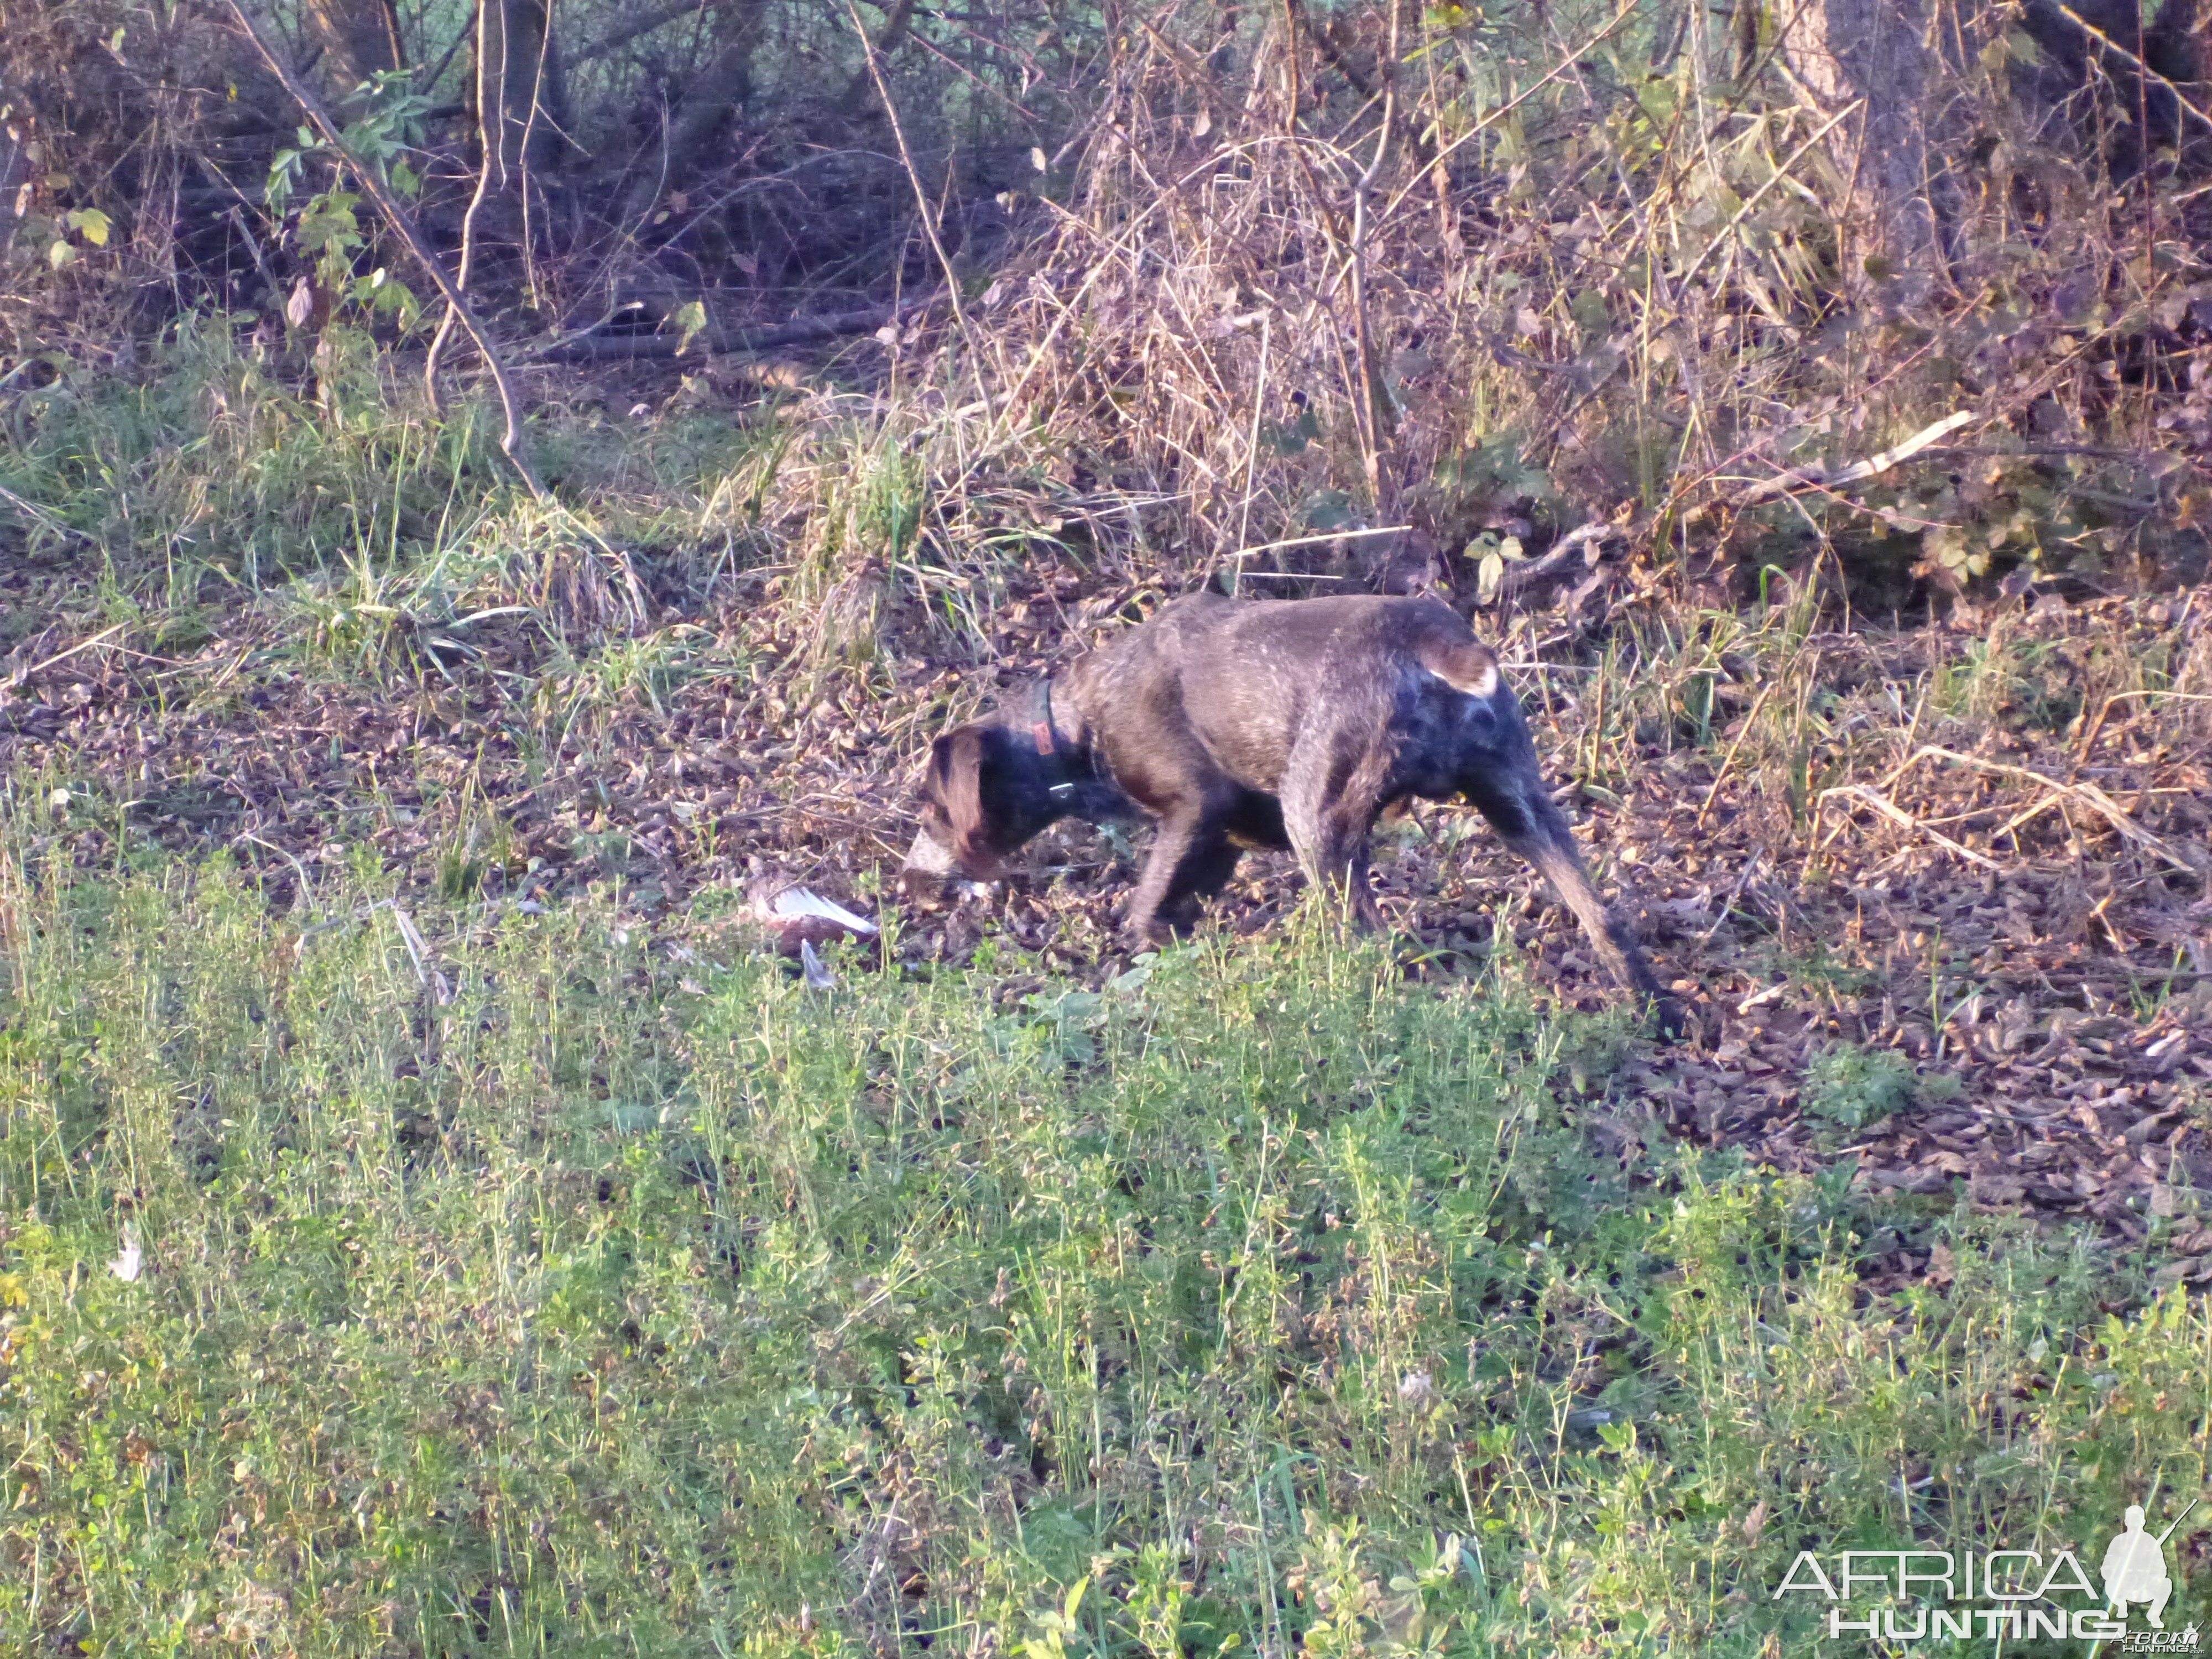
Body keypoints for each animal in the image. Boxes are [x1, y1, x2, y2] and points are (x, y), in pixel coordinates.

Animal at [902, 593, 1672, 1035]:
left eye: (931, 809)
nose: (908, 881)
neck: (1074, 727)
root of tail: (1426, 635)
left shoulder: (1194, 809)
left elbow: (1144, 910)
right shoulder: (1221, 840)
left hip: (1316, 819)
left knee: (1368, 941)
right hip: (1518, 804)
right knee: (1603, 918)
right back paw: (1655, 1014)